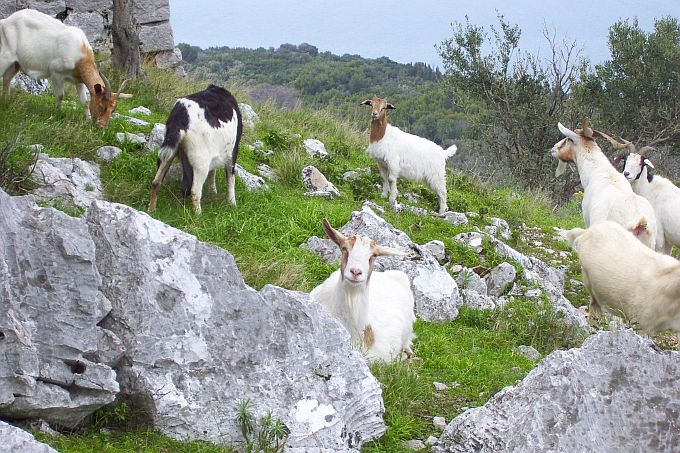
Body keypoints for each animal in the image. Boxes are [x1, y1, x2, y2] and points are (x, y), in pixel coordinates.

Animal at [0, 7, 130, 127]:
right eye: (101, 106)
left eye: (113, 110)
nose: (101, 127)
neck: (80, 54)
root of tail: (5, 21)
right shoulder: (56, 73)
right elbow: (60, 95)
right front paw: (57, 114)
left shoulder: (79, 80)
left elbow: (84, 101)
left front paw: (87, 120)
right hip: (5, 57)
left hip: (16, 63)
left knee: (7, 78)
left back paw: (6, 101)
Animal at [147, 85, 243, 215]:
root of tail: (181, 117)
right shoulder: (233, 151)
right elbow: (230, 176)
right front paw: (232, 203)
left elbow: (212, 172)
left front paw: (213, 191)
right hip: (200, 161)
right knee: (195, 190)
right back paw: (198, 215)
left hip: (169, 152)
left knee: (156, 182)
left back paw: (151, 209)